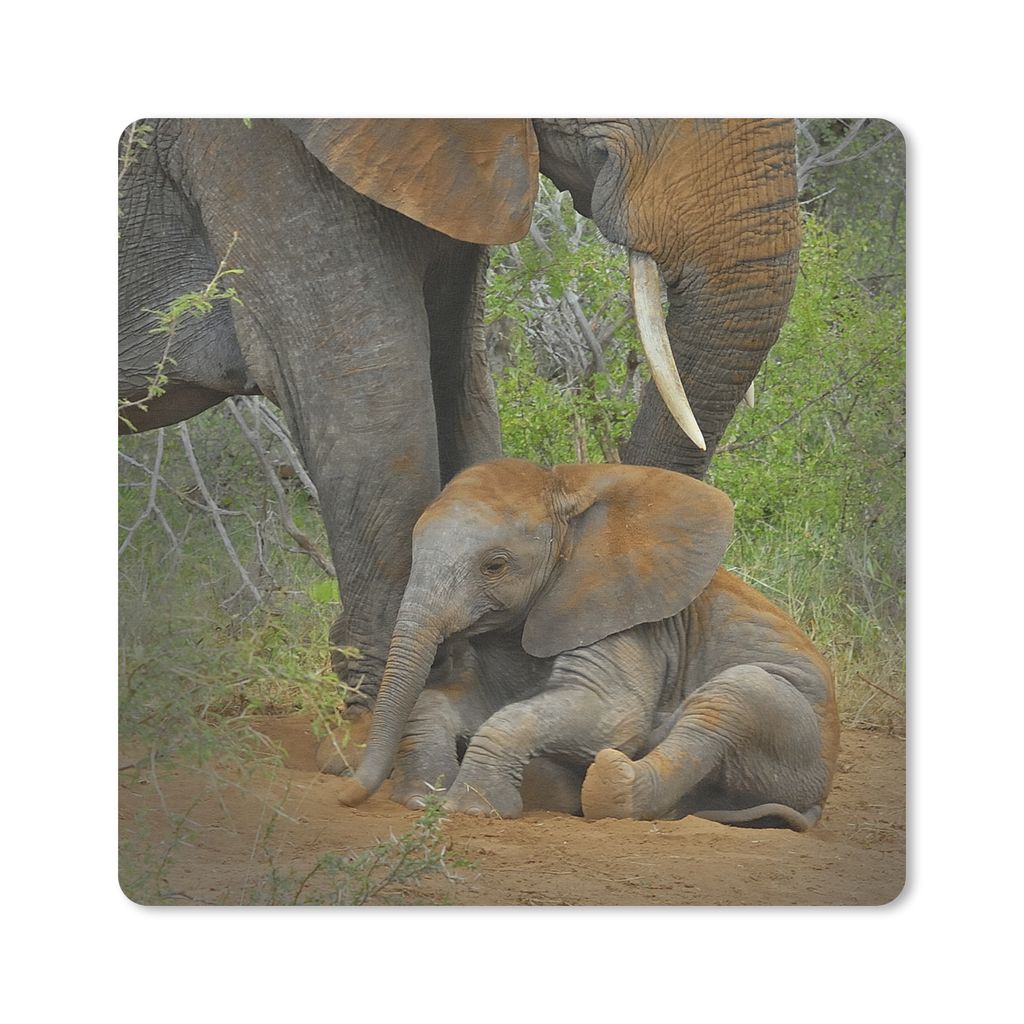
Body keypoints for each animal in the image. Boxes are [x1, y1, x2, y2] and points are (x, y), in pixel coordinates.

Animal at [332, 458, 838, 830]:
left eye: (495, 566)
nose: (345, 796)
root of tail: (819, 796)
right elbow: (458, 703)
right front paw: (422, 799)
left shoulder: (624, 621)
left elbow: (611, 715)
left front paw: (473, 809)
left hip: (796, 737)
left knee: (729, 698)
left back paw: (610, 781)